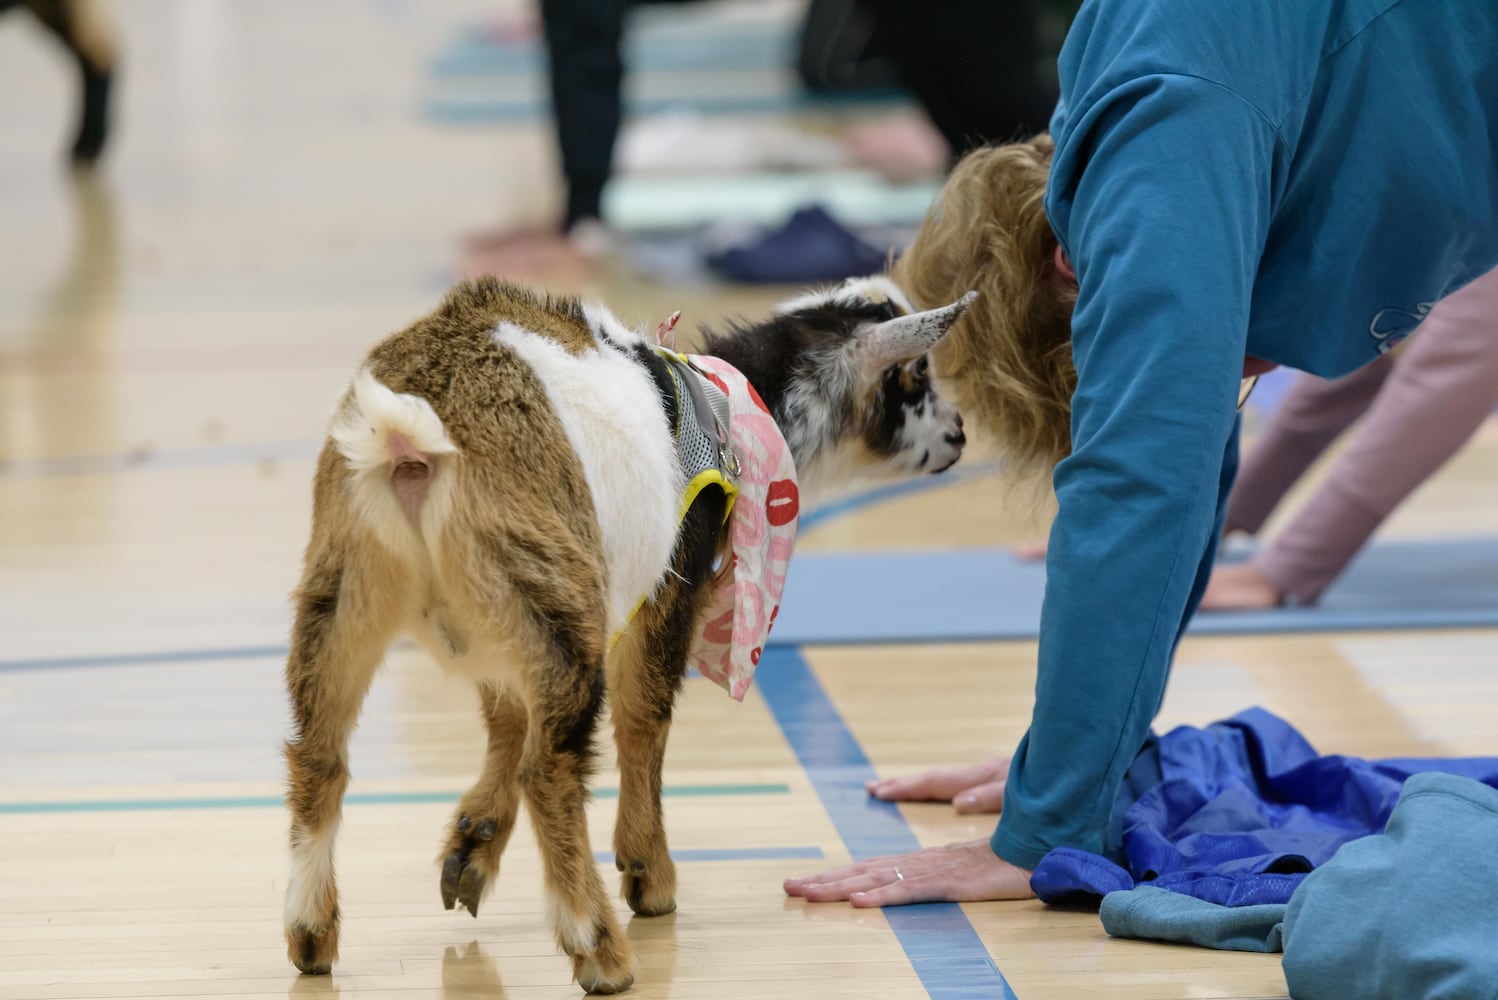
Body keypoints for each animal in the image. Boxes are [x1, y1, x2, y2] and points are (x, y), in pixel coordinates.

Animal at [283, 270, 970, 994]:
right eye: (914, 375)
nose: (959, 434)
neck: (735, 404)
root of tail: (408, 446)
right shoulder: (671, 583)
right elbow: (645, 719)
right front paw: (649, 874)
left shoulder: (504, 641)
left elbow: (506, 716)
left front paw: (472, 846)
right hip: (552, 589)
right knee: (550, 770)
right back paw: (599, 947)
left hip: (347, 593)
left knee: (321, 755)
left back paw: (311, 933)